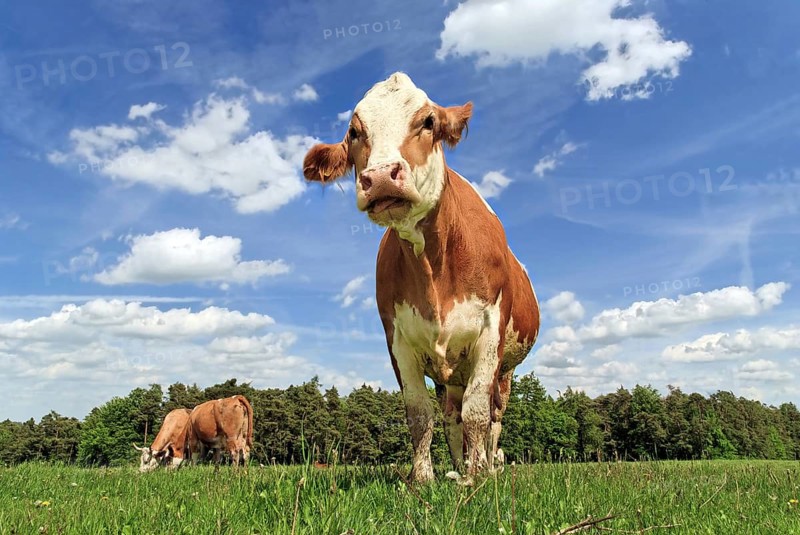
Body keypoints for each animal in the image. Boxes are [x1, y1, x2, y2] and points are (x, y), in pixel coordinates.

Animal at [303, 72, 540, 484]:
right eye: (354, 132)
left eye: (428, 122)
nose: (381, 177)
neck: (433, 267)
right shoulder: (397, 339)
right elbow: (419, 414)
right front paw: (424, 477)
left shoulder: (490, 332)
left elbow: (478, 411)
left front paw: (477, 477)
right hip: (452, 373)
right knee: (451, 415)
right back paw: (459, 467)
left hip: (507, 368)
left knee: (493, 415)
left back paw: (487, 466)